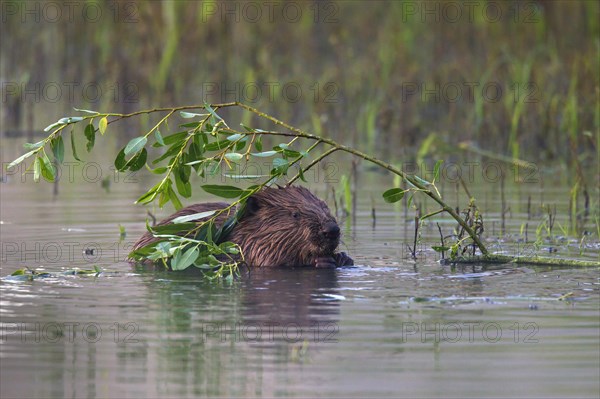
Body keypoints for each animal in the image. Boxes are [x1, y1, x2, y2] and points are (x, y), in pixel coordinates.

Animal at [131, 187, 352, 268]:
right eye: (295, 214)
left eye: (325, 206)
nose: (331, 230)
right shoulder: (247, 247)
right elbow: (267, 259)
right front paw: (322, 260)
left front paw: (343, 257)